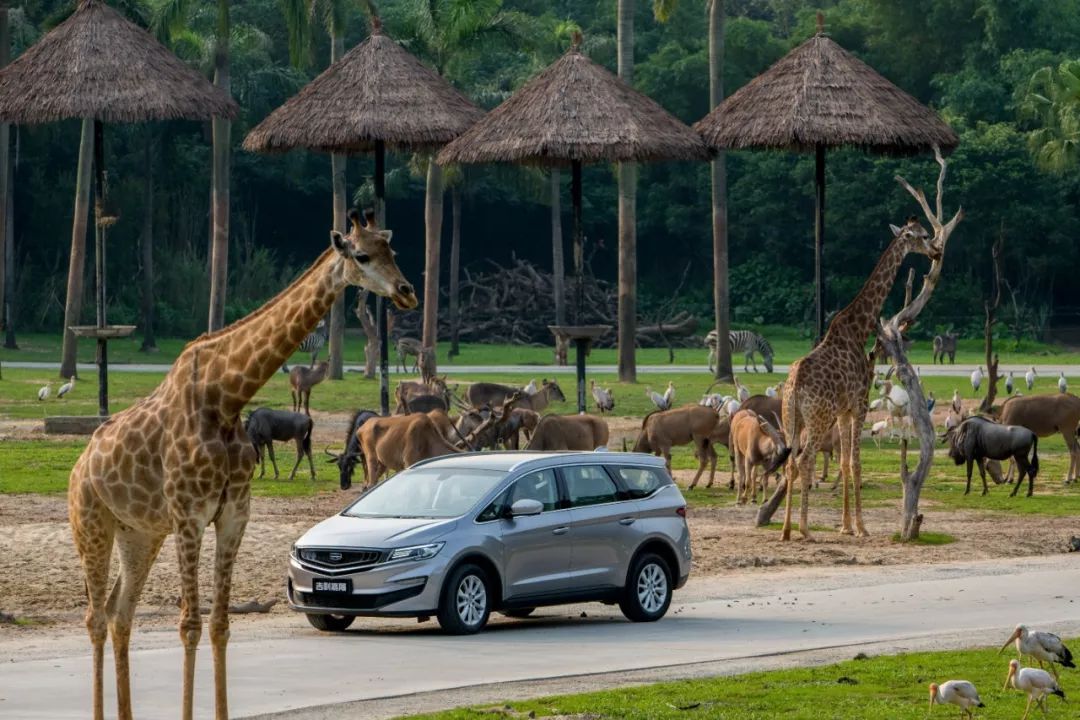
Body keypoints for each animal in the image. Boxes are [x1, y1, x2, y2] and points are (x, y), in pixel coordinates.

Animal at [66, 209, 412, 720]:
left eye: (393, 250)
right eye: (363, 255)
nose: (407, 292)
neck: (226, 397)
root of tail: (80, 464)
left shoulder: (232, 515)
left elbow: (220, 624)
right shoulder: (189, 515)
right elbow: (189, 623)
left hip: (139, 533)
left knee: (119, 612)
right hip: (91, 522)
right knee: (93, 615)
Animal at [781, 218, 941, 539]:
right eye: (922, 236)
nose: (936, 251)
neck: (860, 329)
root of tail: (795, 387)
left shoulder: (844, 411)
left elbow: (844, 462)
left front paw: (845, 525)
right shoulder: (860, 404)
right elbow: (855, 462)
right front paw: (862, 527)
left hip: (792, 418)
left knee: (790, 463)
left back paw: (786, 529)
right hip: (817, 419)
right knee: (805, 460)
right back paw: (805, 529)